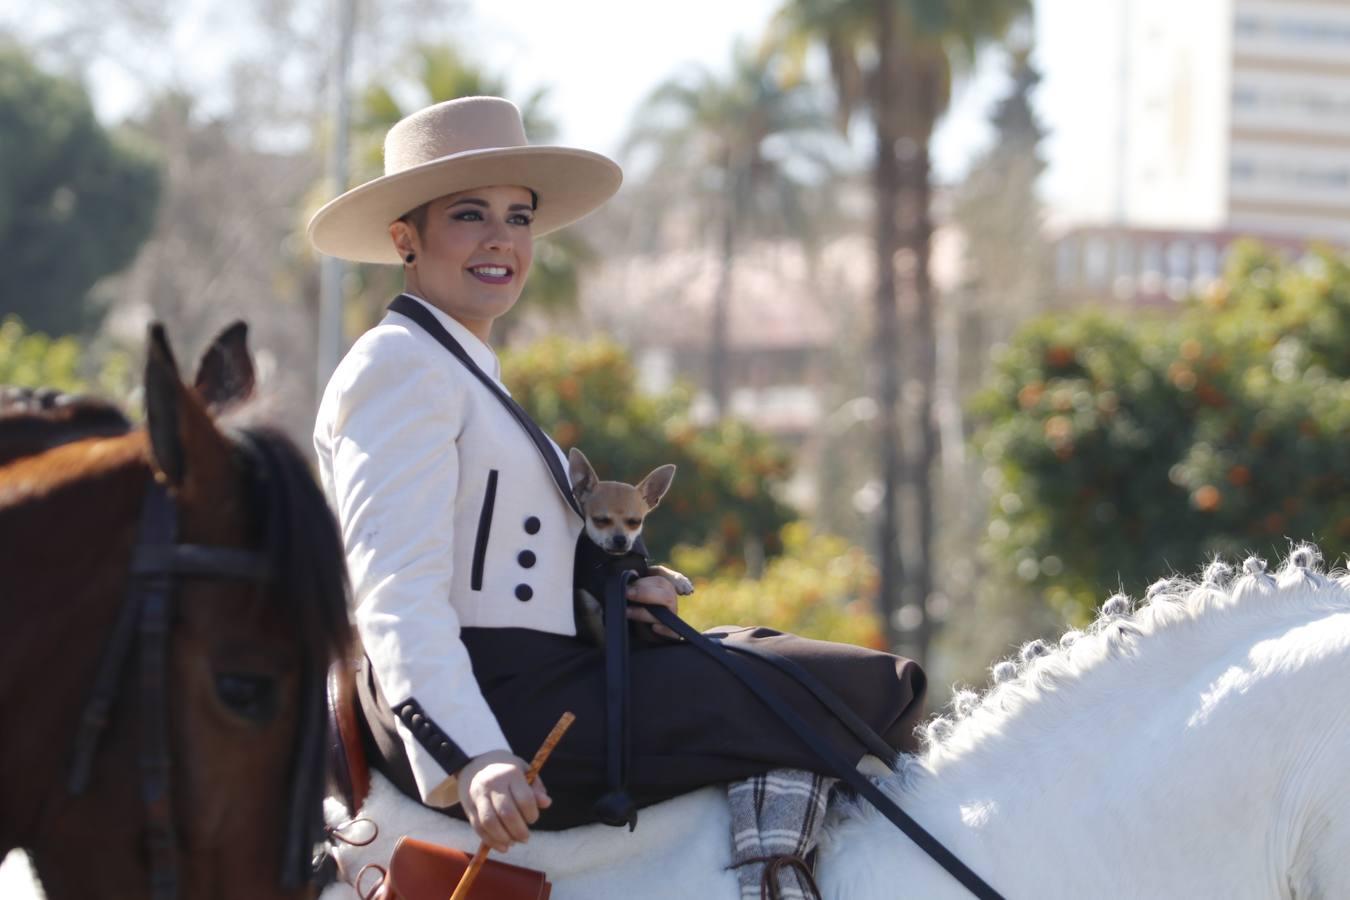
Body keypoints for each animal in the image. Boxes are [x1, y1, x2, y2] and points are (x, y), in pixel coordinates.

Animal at [569, 447, 696, 644]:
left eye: (635, 522)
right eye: (600, 520)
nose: (621, 539)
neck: (610, 562)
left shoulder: (639, 572)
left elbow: (655, 568)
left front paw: (678, 579)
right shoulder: (591, 613)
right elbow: (603, 639)